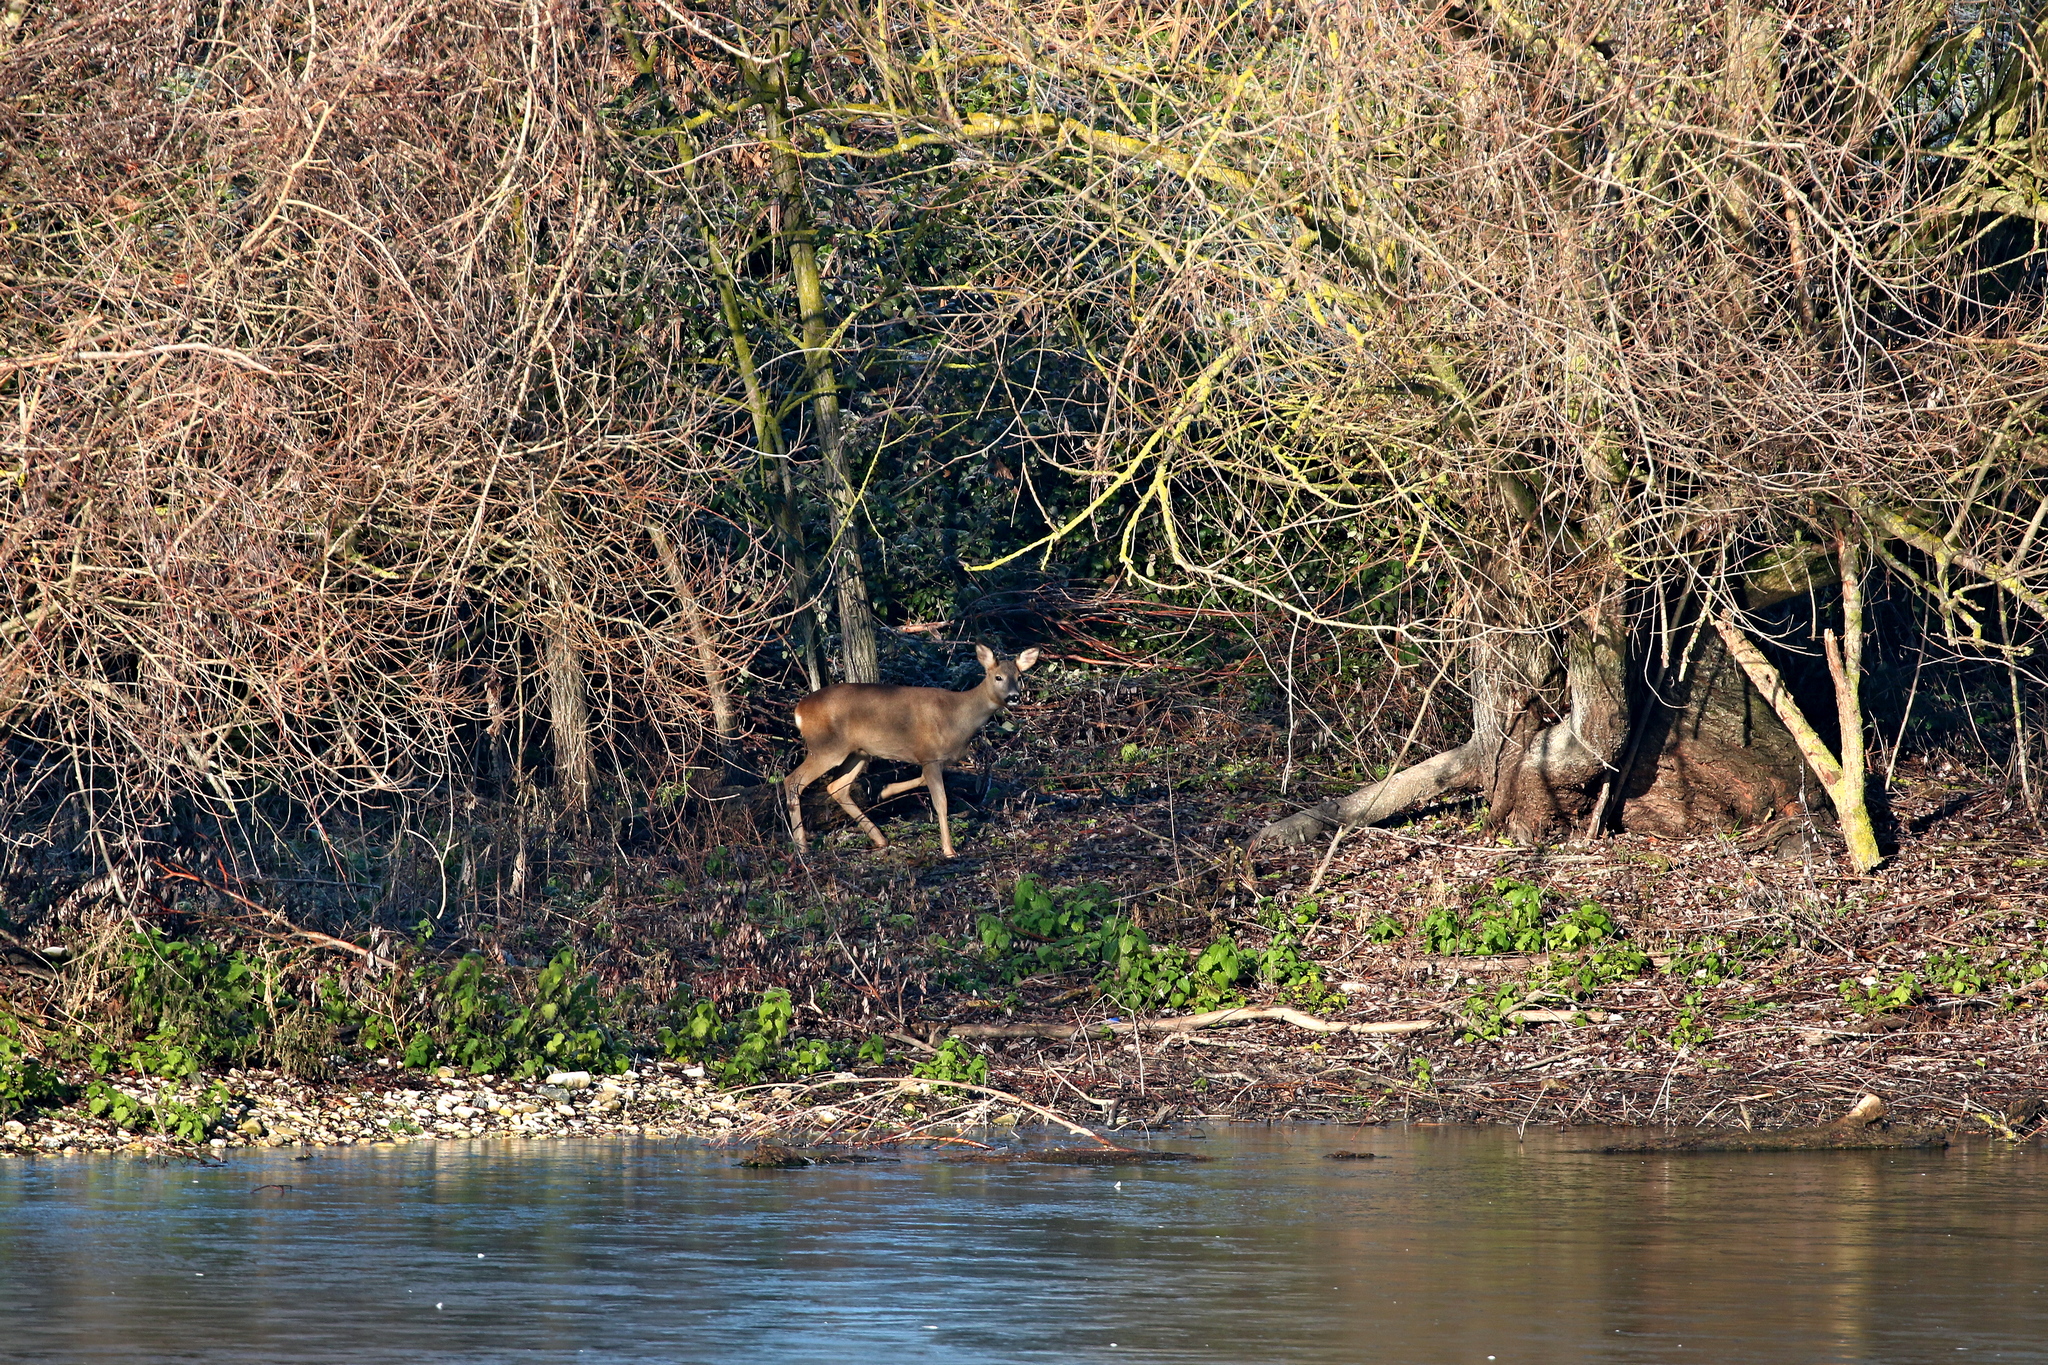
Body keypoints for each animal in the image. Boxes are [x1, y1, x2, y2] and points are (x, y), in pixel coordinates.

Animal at [782, 650, 1040, 859]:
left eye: (1019, 677)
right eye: (998, 677)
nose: (1014, 697)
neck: (959, 716)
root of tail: (799, 710)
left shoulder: (934, 759)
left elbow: (924, 781)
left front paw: (885, 792)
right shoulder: (930, 755)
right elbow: (941, 802)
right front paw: (949, 850)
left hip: (858, 752)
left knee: (837, 787)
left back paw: (879, 838)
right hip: (826, 746)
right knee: (793, 780)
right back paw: (802, 847)